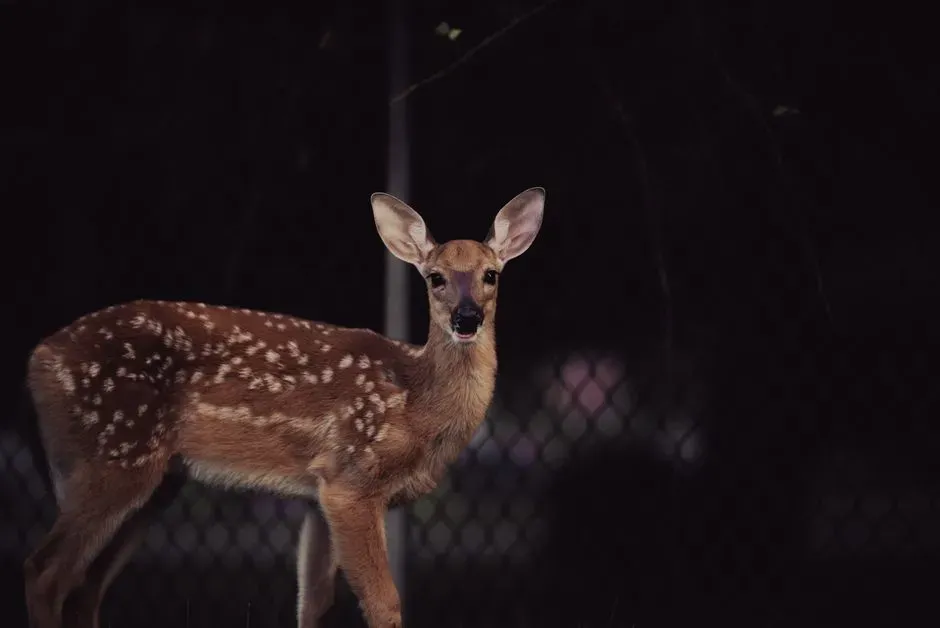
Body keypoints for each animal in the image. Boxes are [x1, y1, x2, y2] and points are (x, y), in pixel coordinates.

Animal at [21, 187, 545, 628]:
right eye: (435, 278)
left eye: (491, 275)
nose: (466, 318)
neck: (415, 402)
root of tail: (39, 358)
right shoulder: (351, 478)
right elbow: (384, 602)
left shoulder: (317, 493)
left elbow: (313, 604)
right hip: (113, 452)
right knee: (45, 571)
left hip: (152, 482)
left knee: (85, 585)